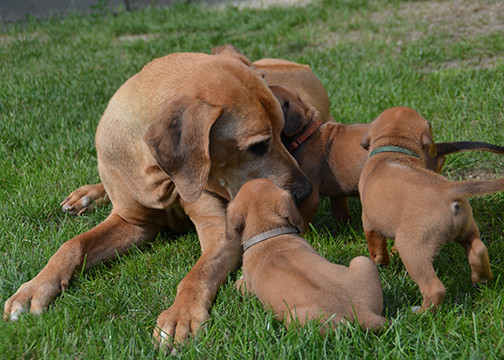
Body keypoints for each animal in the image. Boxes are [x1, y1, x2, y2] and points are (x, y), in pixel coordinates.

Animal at [2, 45, 312, 348]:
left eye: (282, 133)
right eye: (258, 146)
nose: (304, 190)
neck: (161, 174)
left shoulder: (219, 228)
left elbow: (197, 273)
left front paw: (180, 315)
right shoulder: (134, 223)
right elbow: (72, 245)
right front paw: (32, 289)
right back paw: (87, 194)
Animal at [225, 179, 386, 334]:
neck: (269, 232)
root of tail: (363, 313)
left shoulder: (247, 286)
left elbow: (238, 284)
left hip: (294, 318)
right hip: (361, 261)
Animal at [358, 105, 504, 310]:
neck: (394, 148)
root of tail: (447, 190)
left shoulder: (368, 223)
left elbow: (377, 249)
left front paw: (380, 266)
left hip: (412, 249)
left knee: (434, 288)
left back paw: (420, 311)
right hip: (467, 229)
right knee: (479, 250)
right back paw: (481, 280)